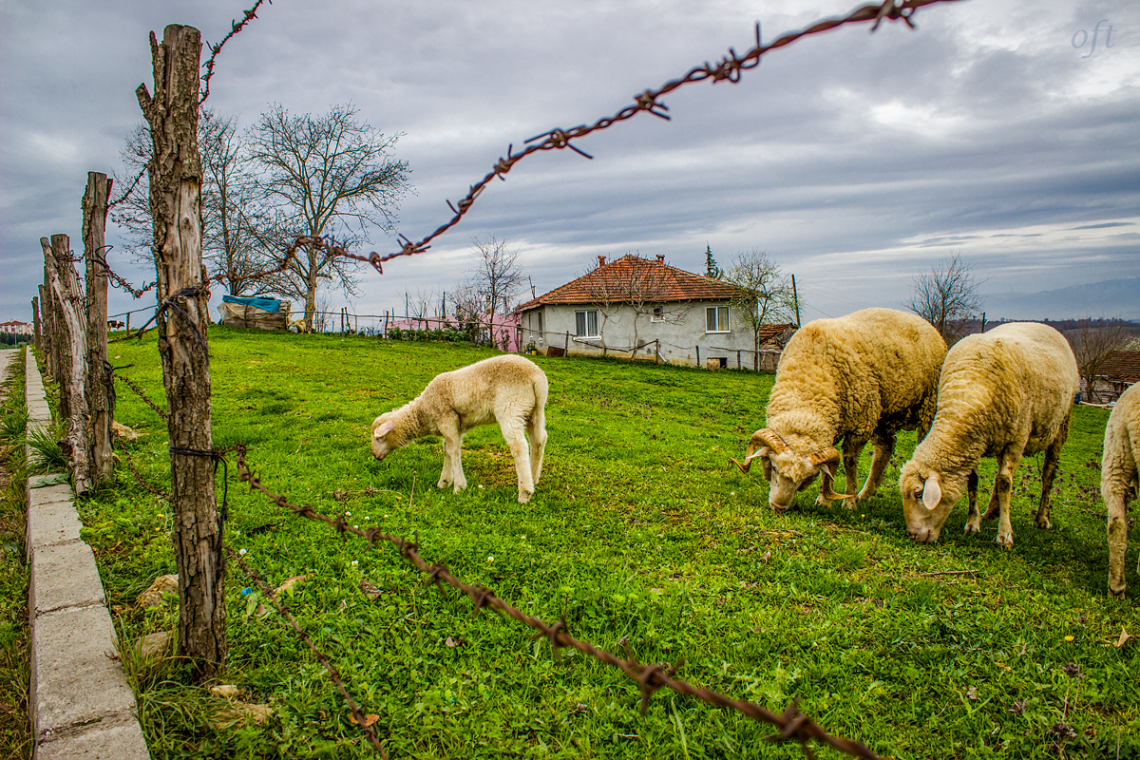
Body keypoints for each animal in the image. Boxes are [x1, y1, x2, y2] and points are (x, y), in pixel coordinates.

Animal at [369, 355, 547, 505]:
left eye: (379, 438)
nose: (375, 456)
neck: (423, 412)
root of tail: (536, 377)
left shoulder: (447, 419)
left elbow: (453, 450)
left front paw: (458, 486)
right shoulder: (455, 426)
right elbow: (447, 449)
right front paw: (444, 481)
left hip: (511, 405)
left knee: (519, 445)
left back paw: (525, 492)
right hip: (534, 410)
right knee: (539, 440)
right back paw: (533, 477)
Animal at [729, 307, 943, 510]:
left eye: (806, 479)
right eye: (773, 468)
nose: (778, 508)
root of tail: (922, 321)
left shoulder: (860, 426)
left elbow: (849, 463)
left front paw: (849, 501)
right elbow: (830, 469)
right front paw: (825, 500)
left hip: (929, 407)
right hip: (885, 414)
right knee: (886, 447)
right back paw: (866, 494)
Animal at [898, 323, 1076, 549]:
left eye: (918, 493)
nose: (913, 535)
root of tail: (1044, 326)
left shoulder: (1017, 439)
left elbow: (1005, 483)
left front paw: (1004, 535)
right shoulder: (973, 443)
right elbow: (974, 481)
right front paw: (973, 524)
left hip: (1061, 426)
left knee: (1047, 474)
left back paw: (1042, 518)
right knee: (1003, 477)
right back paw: (991, 512)